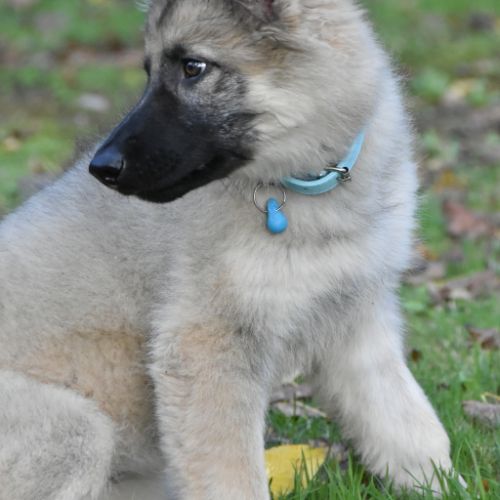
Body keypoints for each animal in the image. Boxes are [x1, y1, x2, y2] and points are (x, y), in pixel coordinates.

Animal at [0, 1, 455, 499]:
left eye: (192, 68)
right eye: (150, 71)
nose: (101, 168)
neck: (310, 188)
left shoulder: (358, 321)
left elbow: (408, 425)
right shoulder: (206, 346)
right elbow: (231, 475)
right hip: (77, 432)